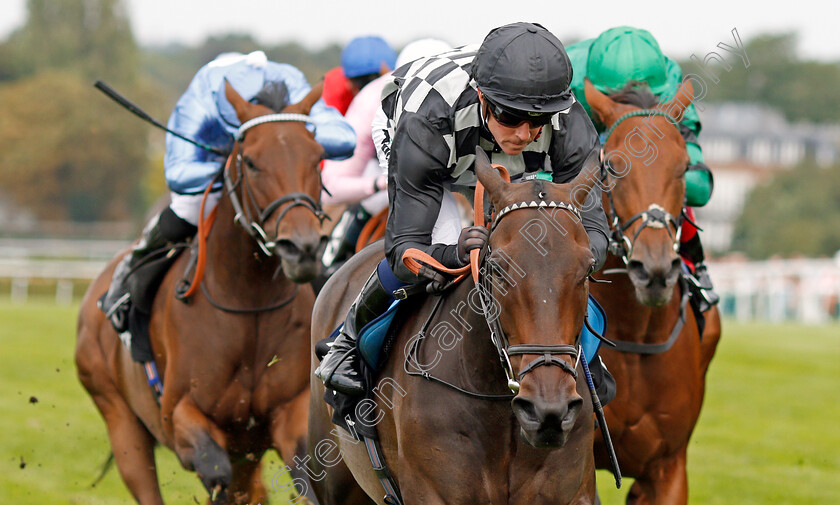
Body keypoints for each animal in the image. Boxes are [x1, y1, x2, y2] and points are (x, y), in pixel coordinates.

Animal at [76, 80, 328, 502]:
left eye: (318, 157)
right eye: (251, 162)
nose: (303, 247)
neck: (249, 302)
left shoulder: (289, 412)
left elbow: (308, 477)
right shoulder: (182, 414)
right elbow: (216, 472)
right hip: (120, 420)